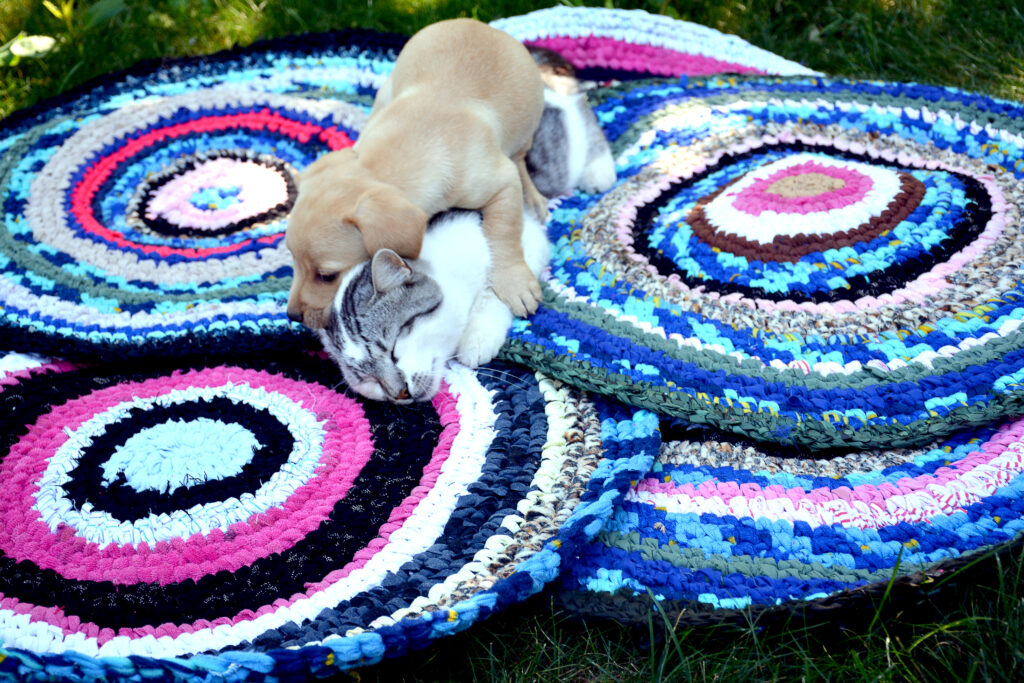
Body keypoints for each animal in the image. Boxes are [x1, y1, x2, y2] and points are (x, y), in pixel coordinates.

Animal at [285, 18, 547, 330]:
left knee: (520, 162)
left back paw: (533, 197)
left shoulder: (502, 183)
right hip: (384, 93)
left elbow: (504, 233)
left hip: (528, 125)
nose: (292, 316)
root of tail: (483, 25)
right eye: (291, 258)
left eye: (327, 276)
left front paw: (514, 281)